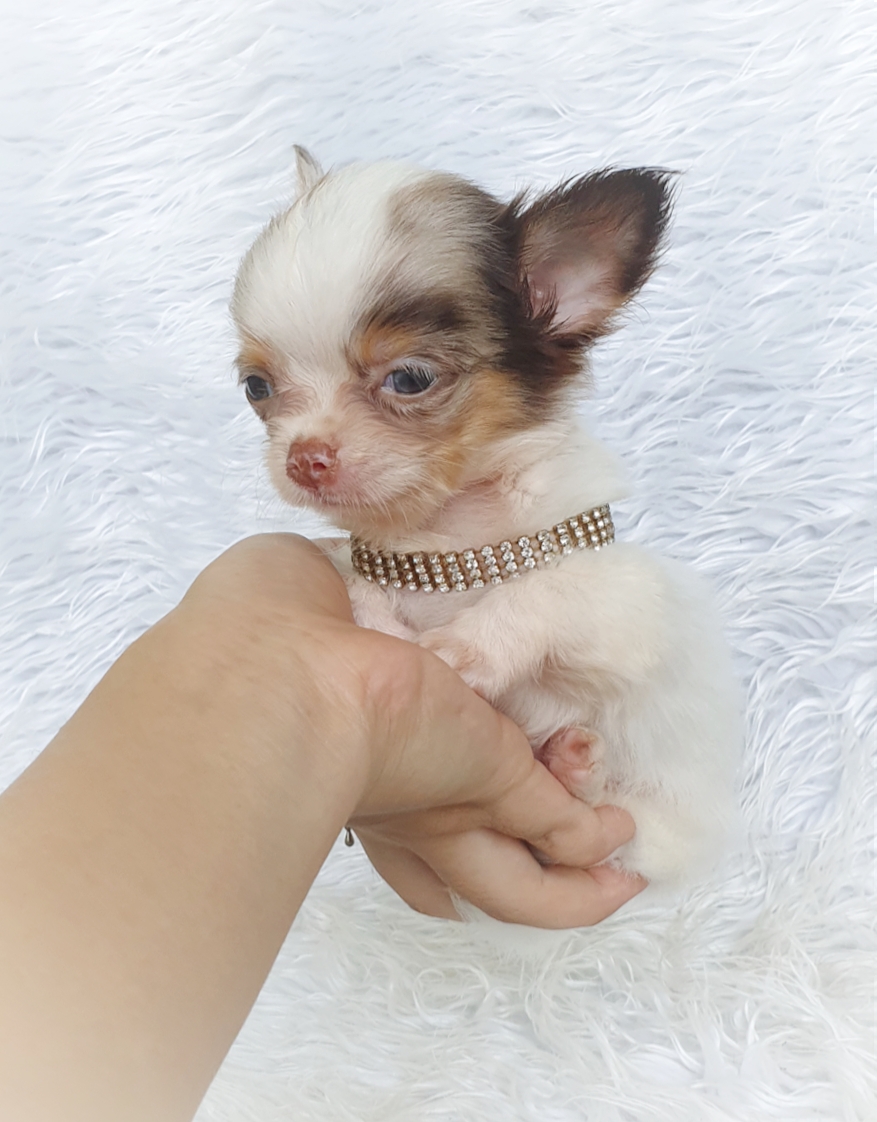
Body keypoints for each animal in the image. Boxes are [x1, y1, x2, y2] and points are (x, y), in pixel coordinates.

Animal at [231, 147, 741, 886]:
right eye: (256, 387)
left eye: (409, 379)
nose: (304, 458)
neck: (447, 542)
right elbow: (361, 583)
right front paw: (362, 592)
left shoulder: (625, 610)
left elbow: (551, 587)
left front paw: (467, 647)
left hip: (645, 831)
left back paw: (576, 767)